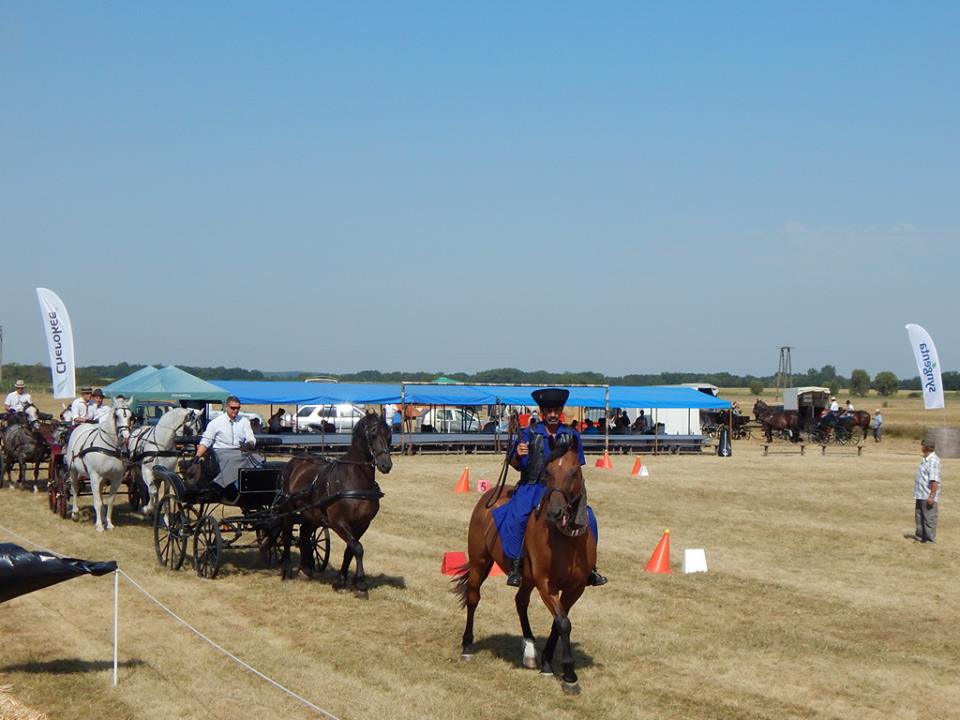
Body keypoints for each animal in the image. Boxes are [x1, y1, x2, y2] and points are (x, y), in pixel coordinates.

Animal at [278, 412, 392, 597]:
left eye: (389, 435)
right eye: (373, 434)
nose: (386, 465)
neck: (355, 480)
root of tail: (294, 461)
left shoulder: (362, 524)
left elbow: (350, 550)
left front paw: (340, 582)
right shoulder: (338, 522)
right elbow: (358, 548)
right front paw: (361, 585)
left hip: (312, 515)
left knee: (304, 535)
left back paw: (306, 570)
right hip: (288, 510)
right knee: (287, 535)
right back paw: (287, 570)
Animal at [454, 433, 595, 695]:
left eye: (574, 472)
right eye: (548, 471)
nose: (554, 511)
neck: (566, 540)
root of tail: (490, 495)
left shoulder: (575, 588)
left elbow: (558, 623)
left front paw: (548, 664)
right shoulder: (546, 584)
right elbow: (563, 623)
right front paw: (569, 675)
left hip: (526, 578)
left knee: (520, 602)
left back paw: (530, 650)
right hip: (480, 563)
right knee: (473, 598)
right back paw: (467, 647)